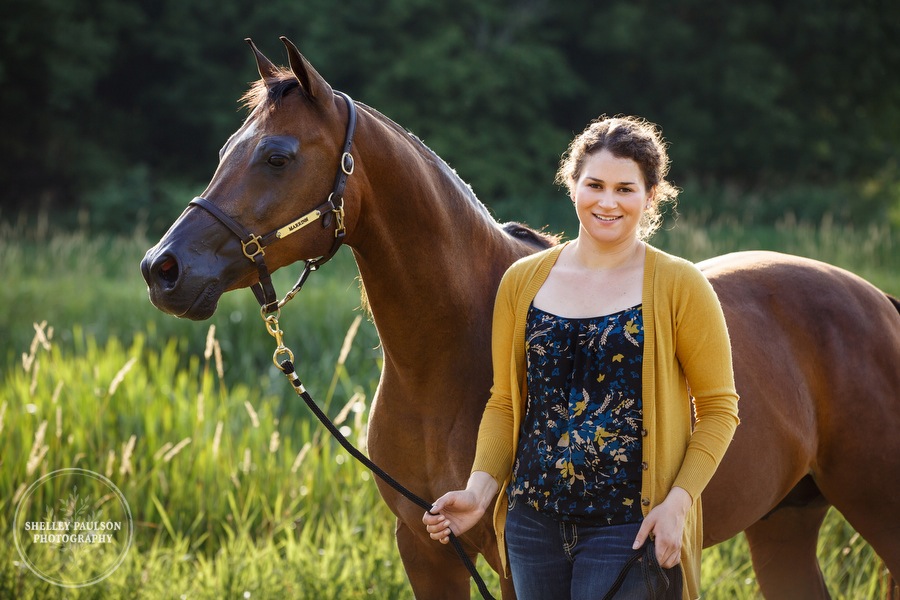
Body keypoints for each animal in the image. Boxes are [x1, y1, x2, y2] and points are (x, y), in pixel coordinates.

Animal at [142, 39, 900, 596]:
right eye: (224, 152)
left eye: (277, 156)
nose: (162, 269)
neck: (447, 357)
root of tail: (877, 302)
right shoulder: (426, 549)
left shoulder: (513, 563)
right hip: (783, 522)